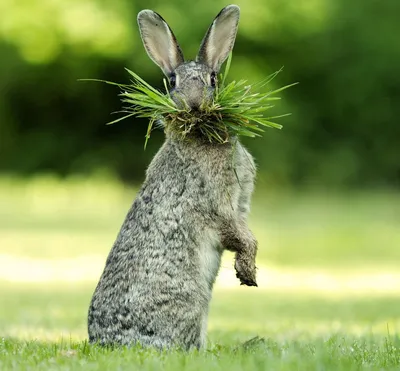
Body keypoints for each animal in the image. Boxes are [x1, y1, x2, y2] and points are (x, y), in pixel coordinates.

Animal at [87, 4, 258, 350]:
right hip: (191, 299)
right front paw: (248, 272)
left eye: (213, 78)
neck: (199, 136)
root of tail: (105, 342)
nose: (193, 105)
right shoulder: (220, 206)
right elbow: (239, 235)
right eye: (172, 80)